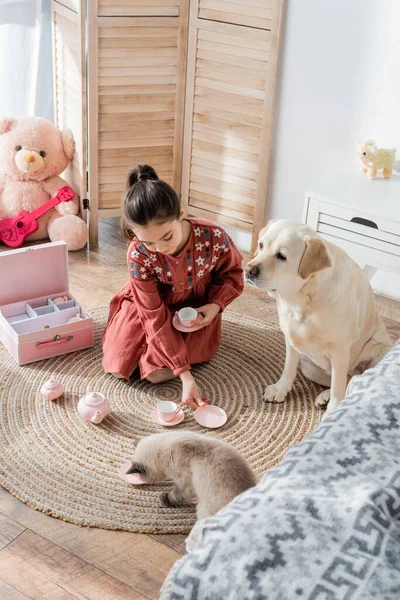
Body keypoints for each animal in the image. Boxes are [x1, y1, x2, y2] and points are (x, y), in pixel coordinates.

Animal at [245, 221, 392, 418]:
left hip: (378, 351)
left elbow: (338, 387)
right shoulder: (291, 340)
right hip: (308, 367)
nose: (248, 270)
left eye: (281, 256)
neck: (301, 300)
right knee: (347, 380)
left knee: (351, 381)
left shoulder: (339, 352)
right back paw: (324, 397)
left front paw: (334, 411)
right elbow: (288, 368)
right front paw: (280, 389)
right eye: (261, 245)